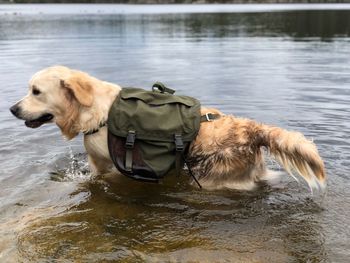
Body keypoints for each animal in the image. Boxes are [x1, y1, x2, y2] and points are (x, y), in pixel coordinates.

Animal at [10, 66, 326, 192]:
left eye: (36, 91)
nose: (12, 109)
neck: (96, 113)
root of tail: (253, 130)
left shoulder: (111, 167)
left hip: (214, 180)